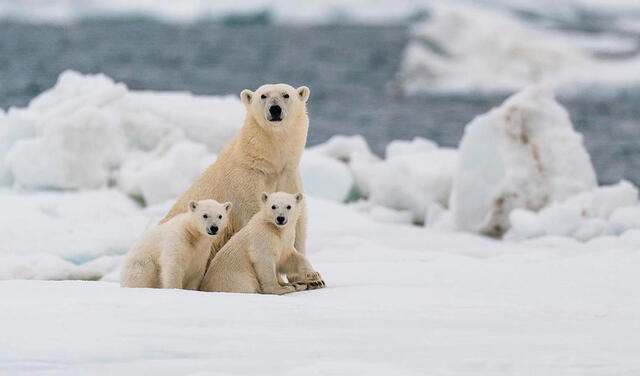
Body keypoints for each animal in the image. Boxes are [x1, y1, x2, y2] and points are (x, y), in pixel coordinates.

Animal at [161, 83, 308, 262]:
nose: (275, 109)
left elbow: (298, 223)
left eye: (286, 95)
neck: (268, 163)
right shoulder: (246, 183)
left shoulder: (288, 175)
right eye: (263, 95)